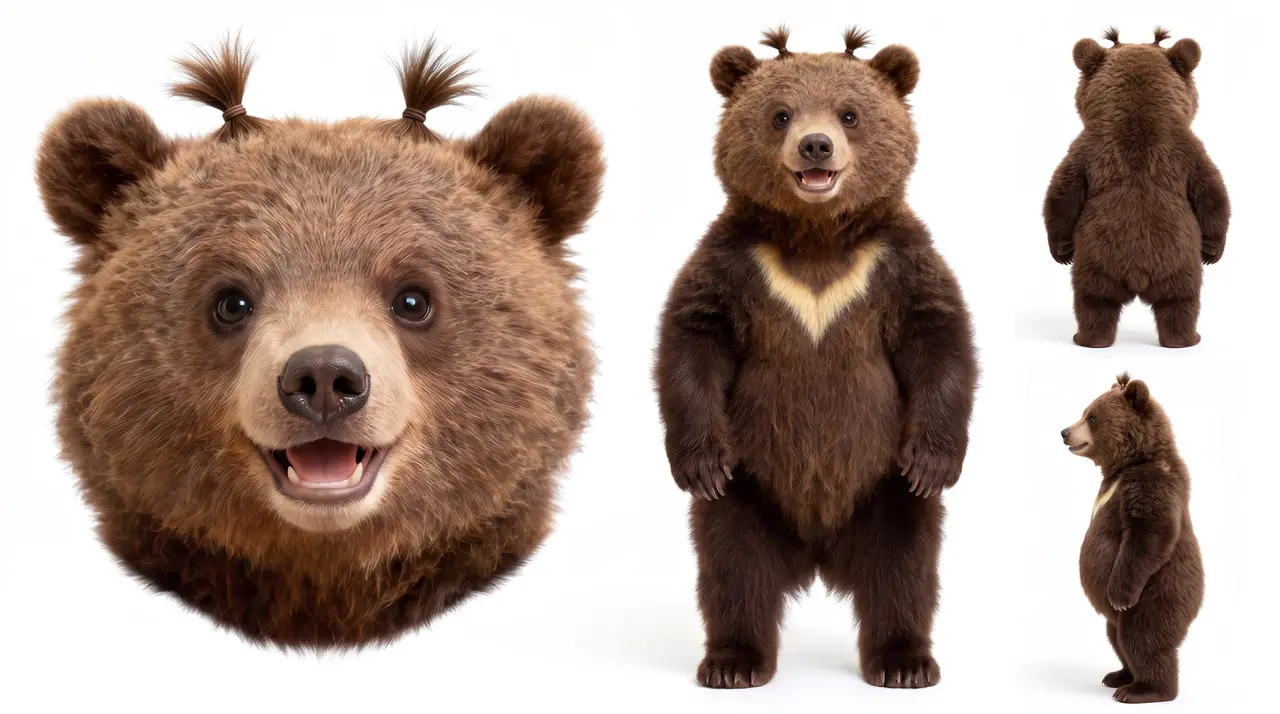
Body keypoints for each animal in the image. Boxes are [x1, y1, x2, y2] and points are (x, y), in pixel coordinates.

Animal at [654, 27, 978, 689]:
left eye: (849, 113)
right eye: (780, 114)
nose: (815, 145)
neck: (817, 239)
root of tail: (819, 552)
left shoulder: (895, 263)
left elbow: (941, 341)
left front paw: (935, 460)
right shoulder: (736, 263)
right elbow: (692, 340)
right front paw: (698, 463)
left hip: (882, 486)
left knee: (905, 566)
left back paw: (904, 660)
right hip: (752, 485)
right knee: (733, 566)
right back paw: (733, 661)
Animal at [1043, 27, 1229, 348]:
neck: (1137, 111)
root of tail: (1137, 273)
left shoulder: (1185, 151)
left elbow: (1212, 194)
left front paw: (1213, 250)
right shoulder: (1088, 150)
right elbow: (1061, 195)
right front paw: (1061, 251)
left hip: (1155, 262)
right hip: (1119, 262)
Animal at [1061, 374, 1204, 703]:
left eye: (1091, 416)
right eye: (1085, 411)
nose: (1064, 432)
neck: (1128, 464)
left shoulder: (1151, 485)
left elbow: (1147, 532)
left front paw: (1119, 594)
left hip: (1161, 592)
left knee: (1143, 637)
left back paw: (1143, 690)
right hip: (1122, 616)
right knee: (1117, 638)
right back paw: (1118, 675)